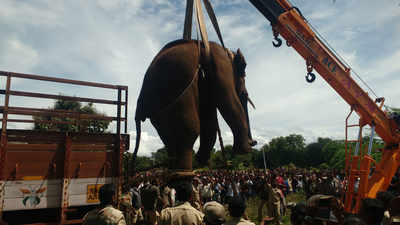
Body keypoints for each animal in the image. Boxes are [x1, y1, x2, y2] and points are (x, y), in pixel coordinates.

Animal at [133, 39, 255, 172]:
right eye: (244, 94)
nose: (253, 142)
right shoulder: (220, 63)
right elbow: (227, 101)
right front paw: (243, 151)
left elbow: (208, 117)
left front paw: (202, 160)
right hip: (177, 93)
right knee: (189, 130)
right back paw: (184, 172)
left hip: (158, 111)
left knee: (169, 138)